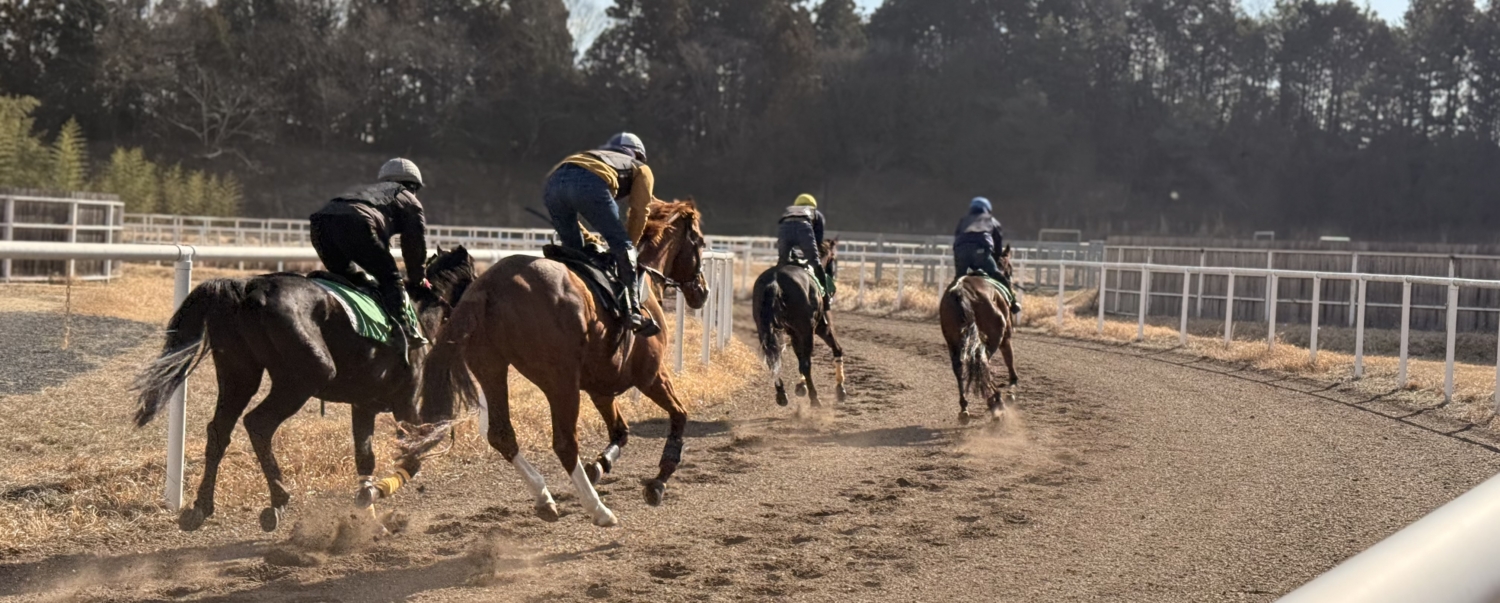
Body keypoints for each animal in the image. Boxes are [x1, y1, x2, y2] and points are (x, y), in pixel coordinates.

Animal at [131, 246, 477, 532]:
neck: (417, 312)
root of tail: (246, 290)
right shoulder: (404, 403)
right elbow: (419, 451)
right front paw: (380, 491)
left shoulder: (364, 404)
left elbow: (365, 456)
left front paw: (367, 509)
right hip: (304, 378)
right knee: (258, 423)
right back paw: (278, 499)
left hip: (239, 374)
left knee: (219, 430)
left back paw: (201, 507)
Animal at [407, 199, 708, 528]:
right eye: (700, 242)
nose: (702, 291)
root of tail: (488, 287)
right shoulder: (651, 375)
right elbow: (679, 415)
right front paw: (659, 480)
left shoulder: (601, 387)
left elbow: (621, 431)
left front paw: (599, 466)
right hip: (560, 381)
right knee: (564, 443)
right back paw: (598, 509)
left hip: (490, 367)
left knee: (502, 434)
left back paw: (544, 497)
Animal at [752, 239, 847, 408]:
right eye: (834, 258)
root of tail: (775, 280)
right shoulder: (821, 328)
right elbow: (837, 349)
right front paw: (840, 389)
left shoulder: (794, 332)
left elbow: (799, 356)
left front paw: (801, 386)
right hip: (808, 330)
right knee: (806, 364)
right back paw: (815, 399)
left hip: (763, 329)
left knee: (773, 360)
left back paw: (782, 395)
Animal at [938, 244, 1019, 424]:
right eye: (1009, 268)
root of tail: (961, 292)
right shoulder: (1006, 336)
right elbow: (1009, 361)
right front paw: (1011, 389)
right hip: (994, 335)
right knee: (983, 362)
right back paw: (996, 401)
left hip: (953, 341)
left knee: (959, 366)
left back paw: (965, 408)